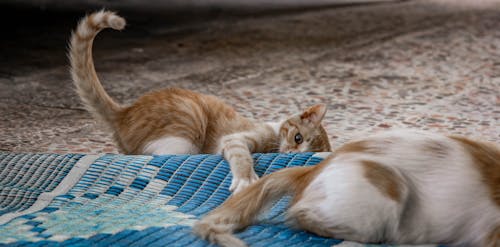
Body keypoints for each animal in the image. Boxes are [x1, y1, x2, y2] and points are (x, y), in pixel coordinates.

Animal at [67, 10, 332, 193]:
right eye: (298, 138)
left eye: (305, 148)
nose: (291, 153)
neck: (274, 135)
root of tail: (125, 112)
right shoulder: (234, 139)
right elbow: (242, 156)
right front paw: (245, 178)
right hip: (188, 124)